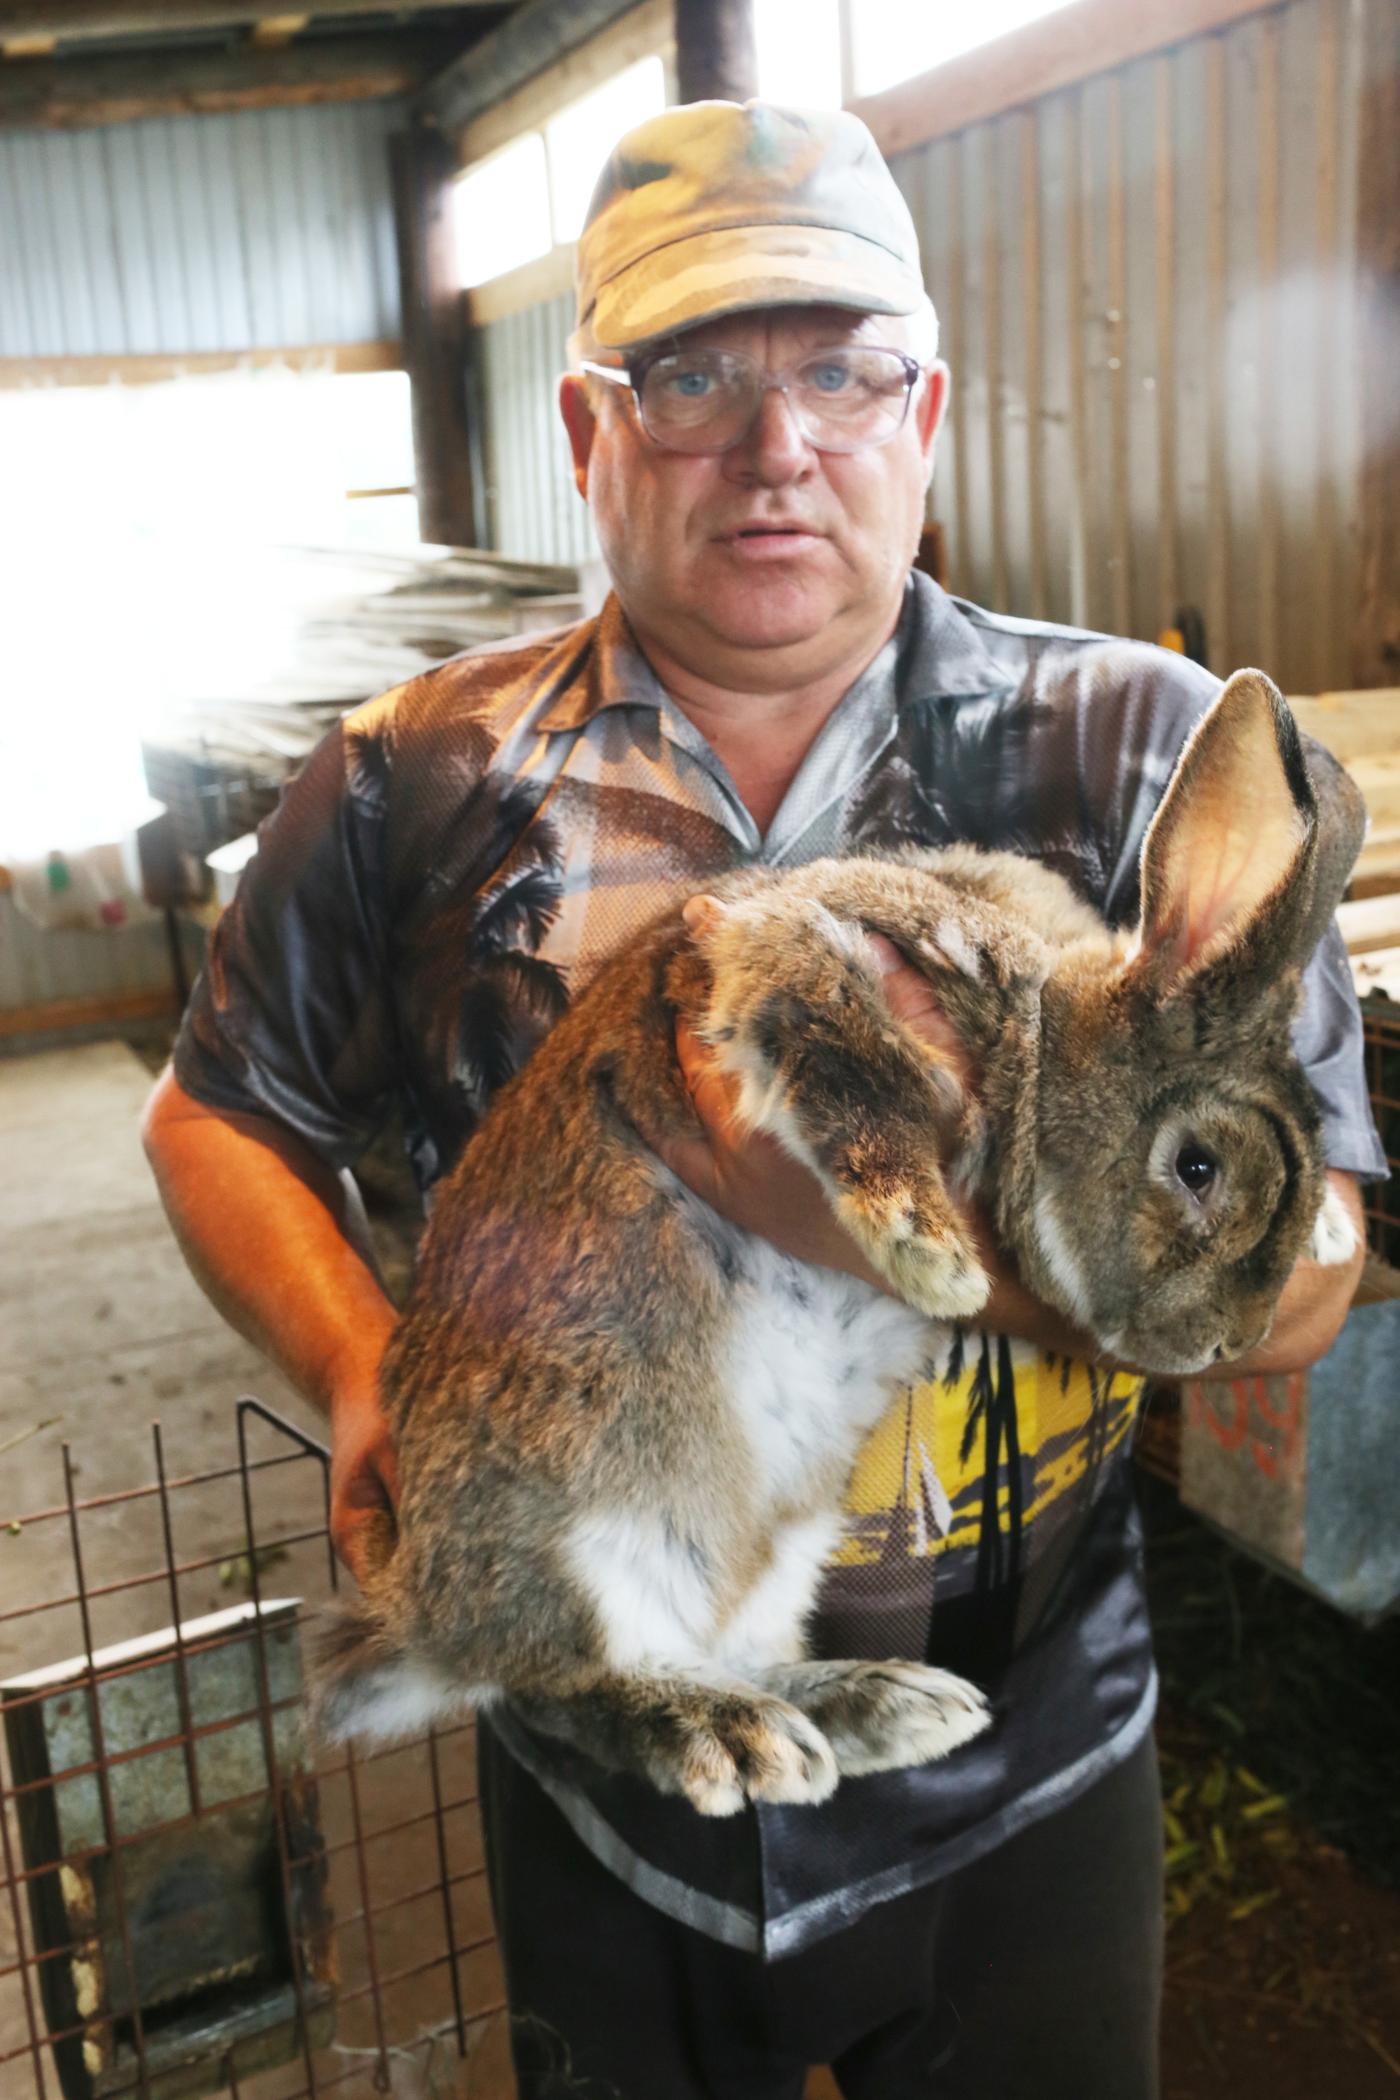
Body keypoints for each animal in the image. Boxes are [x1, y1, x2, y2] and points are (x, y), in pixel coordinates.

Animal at [314, 667, 1360, 1805]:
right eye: (1196, 1168)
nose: (1227, 1343)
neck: (1039, 1034)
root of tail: (417, 1619)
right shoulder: (798, 954)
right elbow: (859, 1065)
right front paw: (931, 1252)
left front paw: (1334, 1233)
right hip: (584, 1536)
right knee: (561, 1685)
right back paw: (731, 1736)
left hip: (785, 1549)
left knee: (738, 1650)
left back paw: (884, 1709)